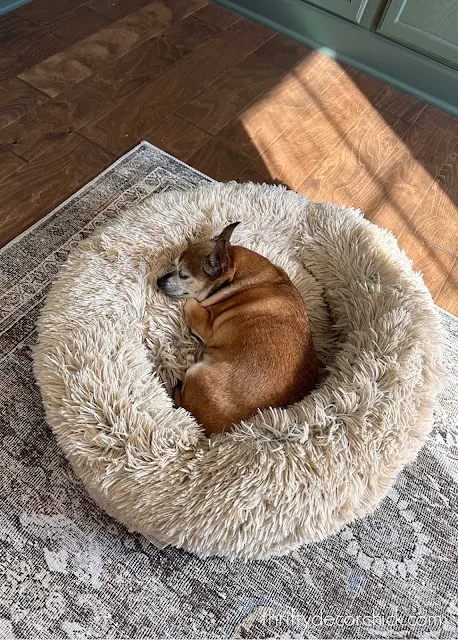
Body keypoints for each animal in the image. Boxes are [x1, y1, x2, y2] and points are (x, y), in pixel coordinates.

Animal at [157, 222, 318, 438]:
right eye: (173, 265)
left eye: (183, 275)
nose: (158, 280)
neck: (233, 272)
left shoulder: (204, 322)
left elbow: (190, 301)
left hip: (196, 372)